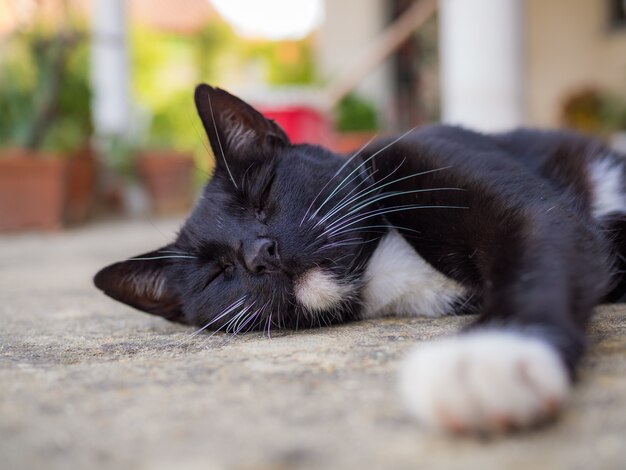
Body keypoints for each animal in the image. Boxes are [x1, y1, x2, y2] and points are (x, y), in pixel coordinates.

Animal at [94, 84, 624, 434]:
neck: (379, 263)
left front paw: (494, 353)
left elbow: (537, 242)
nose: (261, 253)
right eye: (218, 272)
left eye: (263, 196)